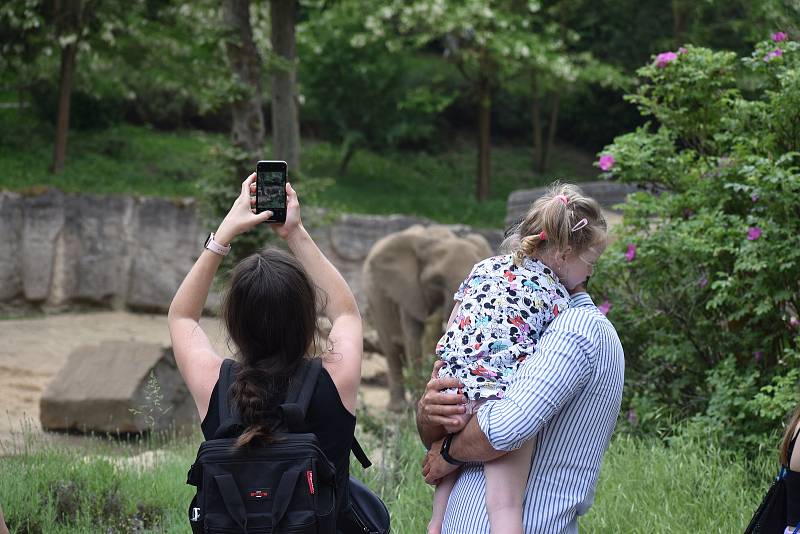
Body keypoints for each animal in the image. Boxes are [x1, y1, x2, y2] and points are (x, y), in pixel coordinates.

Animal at [362, 224, 494, 412]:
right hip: (375, 301)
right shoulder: (408, 291)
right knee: (391, 350)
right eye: (437, 281)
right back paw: (397, 408)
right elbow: (414, 341)